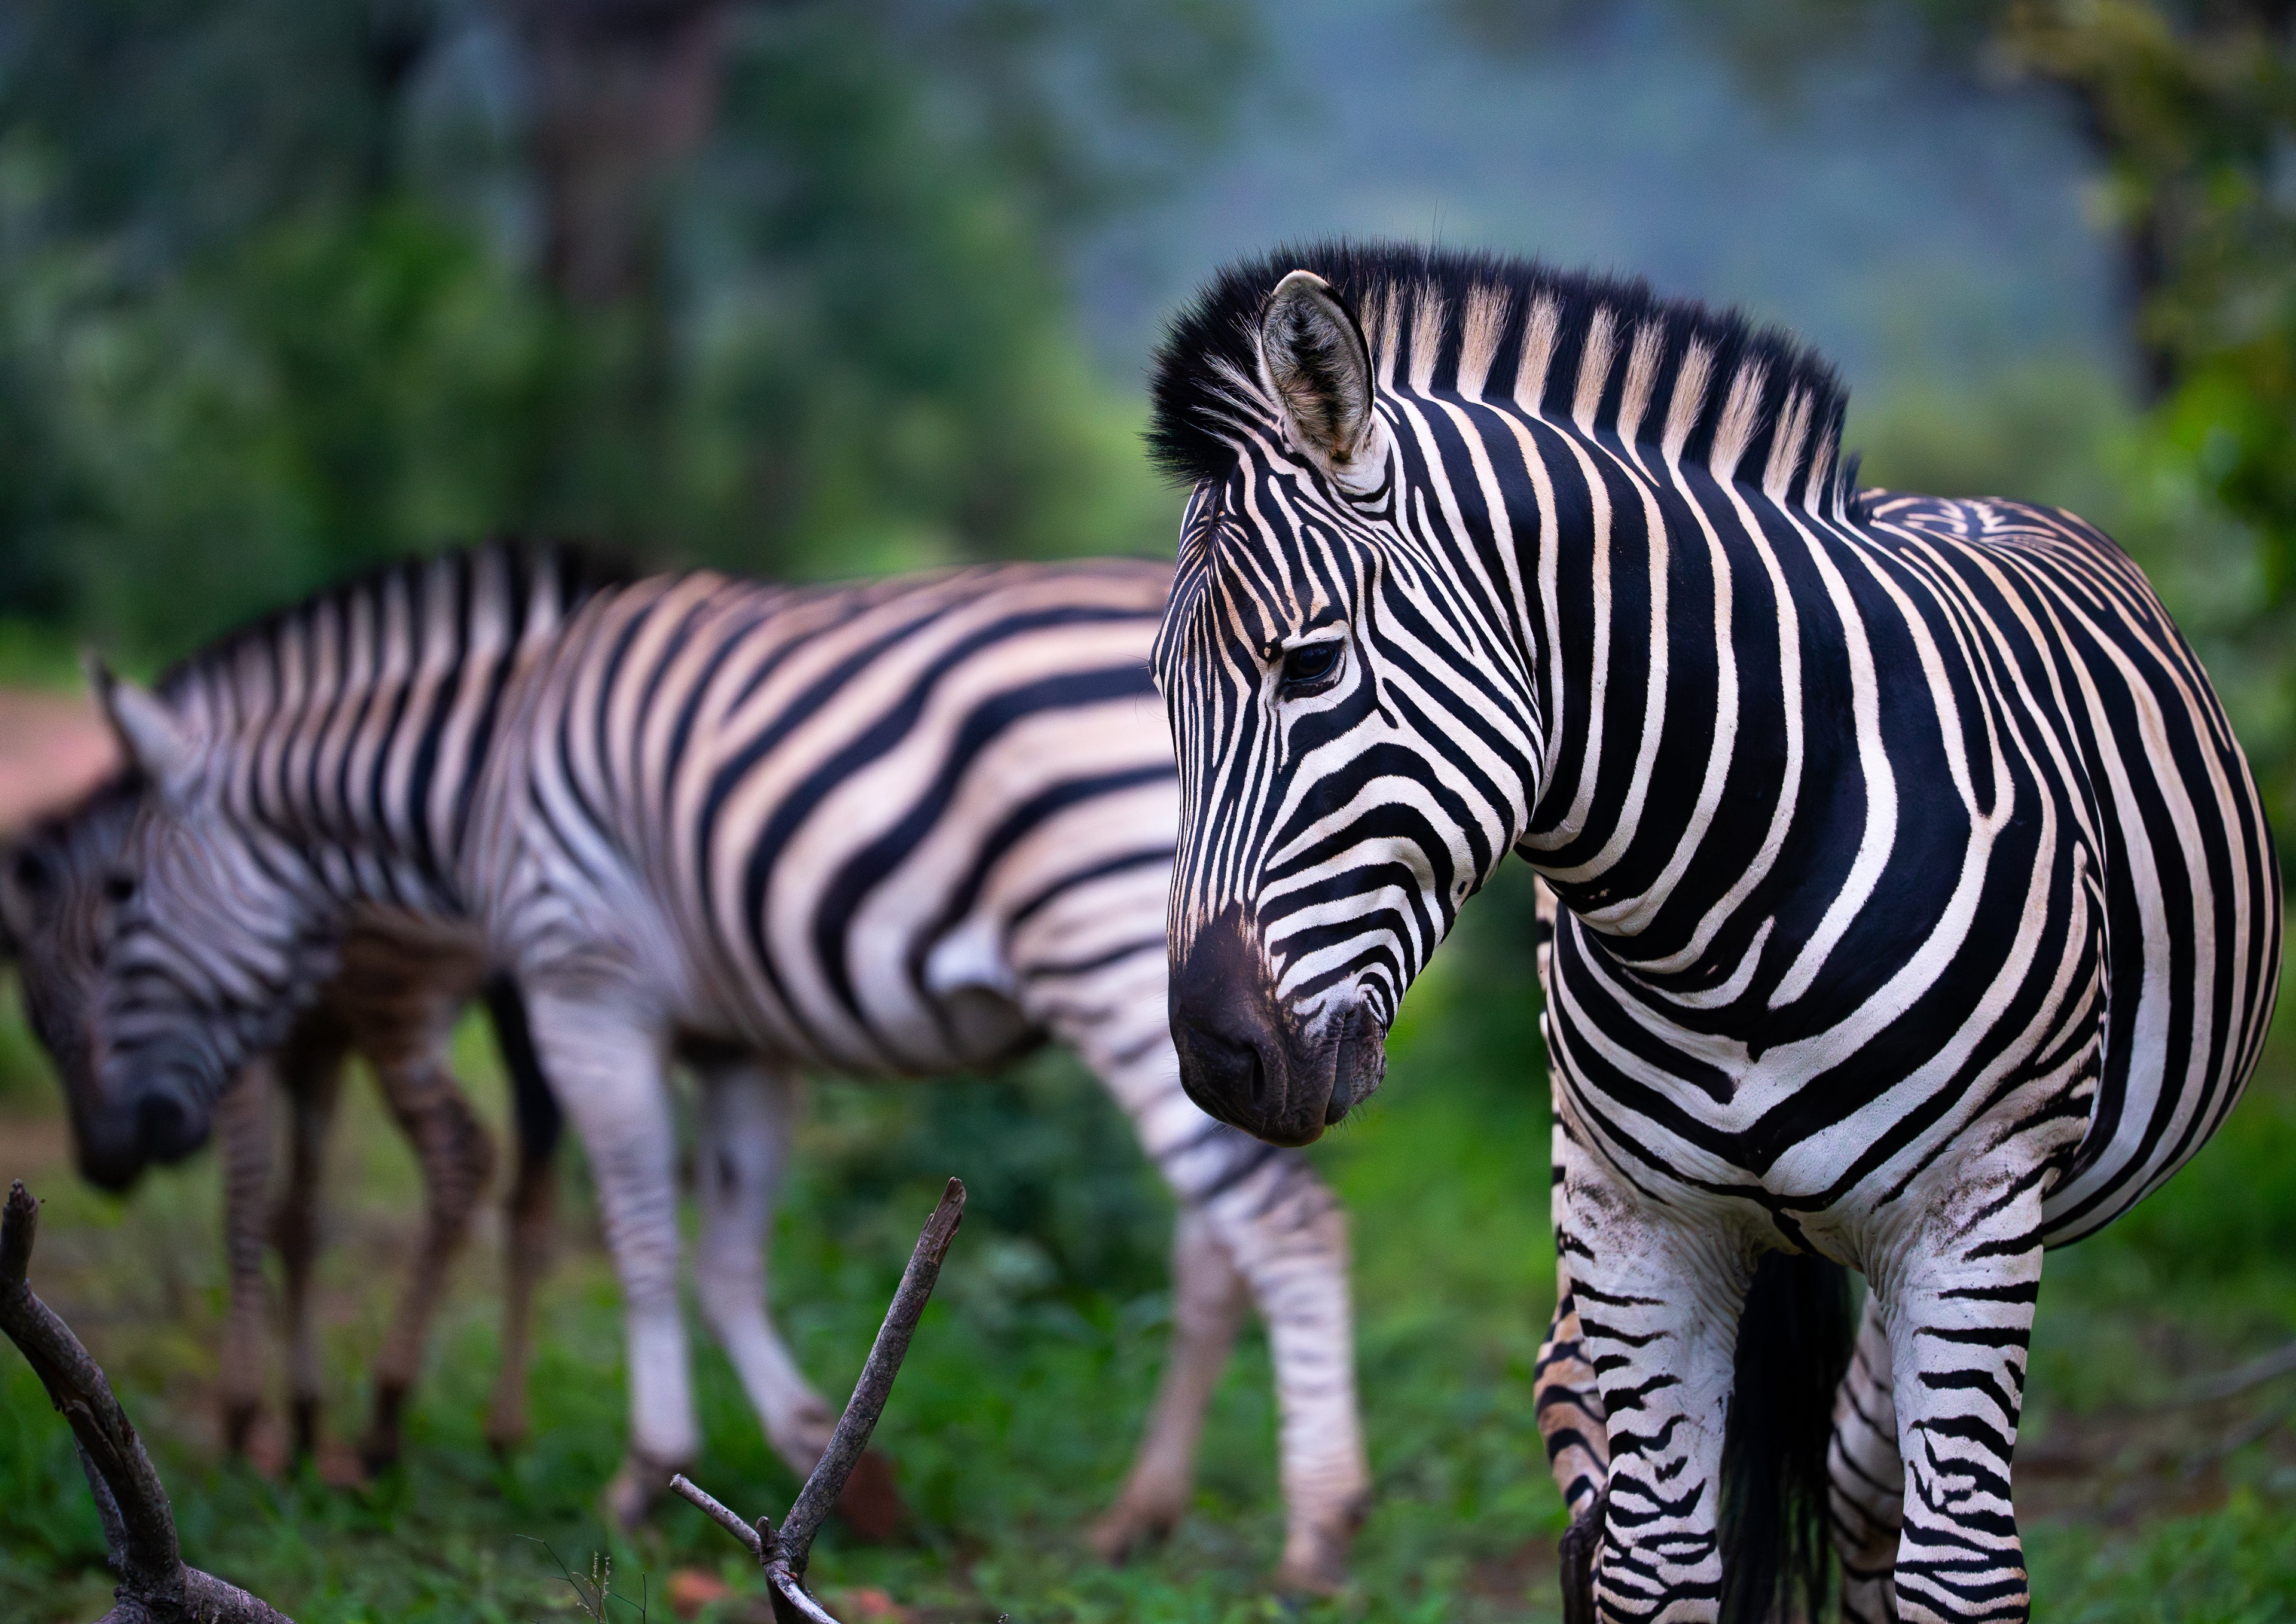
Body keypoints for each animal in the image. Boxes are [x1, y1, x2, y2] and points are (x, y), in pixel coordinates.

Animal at [1, 787, 563, 1471]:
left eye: (33, 1020)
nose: (100, 1168)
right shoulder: (316, 1044)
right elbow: (299, 1219)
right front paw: (302, 1417)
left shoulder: (249, 1046)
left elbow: (245, 1204)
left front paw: (242, 1414)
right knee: (534, 1193)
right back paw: (505, 1428)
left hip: (396, 1001)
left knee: (462, 1155)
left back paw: (388, 1407)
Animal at [1144, 241, 2280, 1624]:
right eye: (1160, 694)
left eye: (1308, 665)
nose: (1218, 1061)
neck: (1737, 901)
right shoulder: (1638, 1222)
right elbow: (1654, 1563)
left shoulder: (1973, 1212)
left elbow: (1958, 1571)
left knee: (1868, 1487)